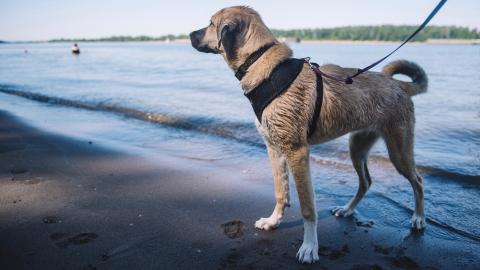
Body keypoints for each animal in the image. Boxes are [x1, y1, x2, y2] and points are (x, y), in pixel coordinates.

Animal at [189, 5, 426, 264]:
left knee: (418, 181)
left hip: (398, 150)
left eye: (211, 24)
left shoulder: (297, 153)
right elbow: (280, 192)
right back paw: (347, 210)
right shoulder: (274, 149)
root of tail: (399, 86)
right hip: (357, 147)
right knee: (366, 181)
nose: (189, 35)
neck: (259, 59)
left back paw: (418, 218)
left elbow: (307, 208)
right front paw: (273, 221)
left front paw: (310, 246)